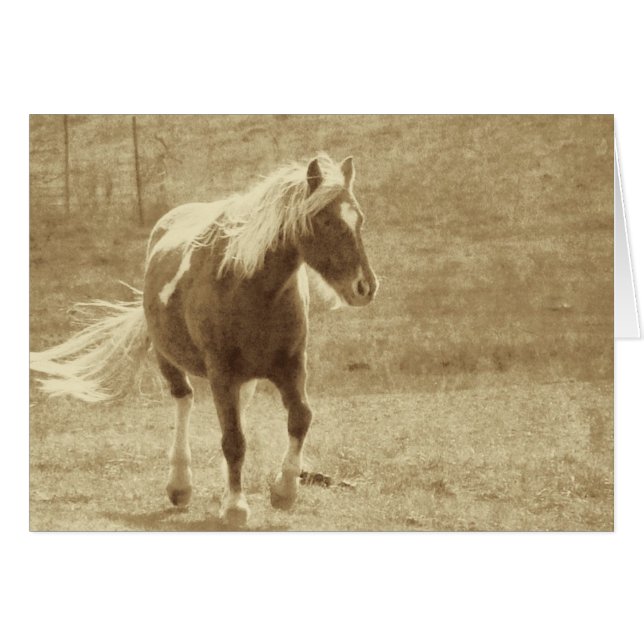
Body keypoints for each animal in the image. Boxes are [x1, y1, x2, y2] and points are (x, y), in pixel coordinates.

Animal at [30, 153, 378, 527]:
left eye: (359, 219)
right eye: (325, 220)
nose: (365, 287)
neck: (251, 287)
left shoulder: (291, 365)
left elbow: (300, 418)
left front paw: (284, 491)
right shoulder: (221, 372)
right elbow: (234, 440)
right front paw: (237, 507)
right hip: (169, 359)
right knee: (184, 400)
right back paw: (180, 485)